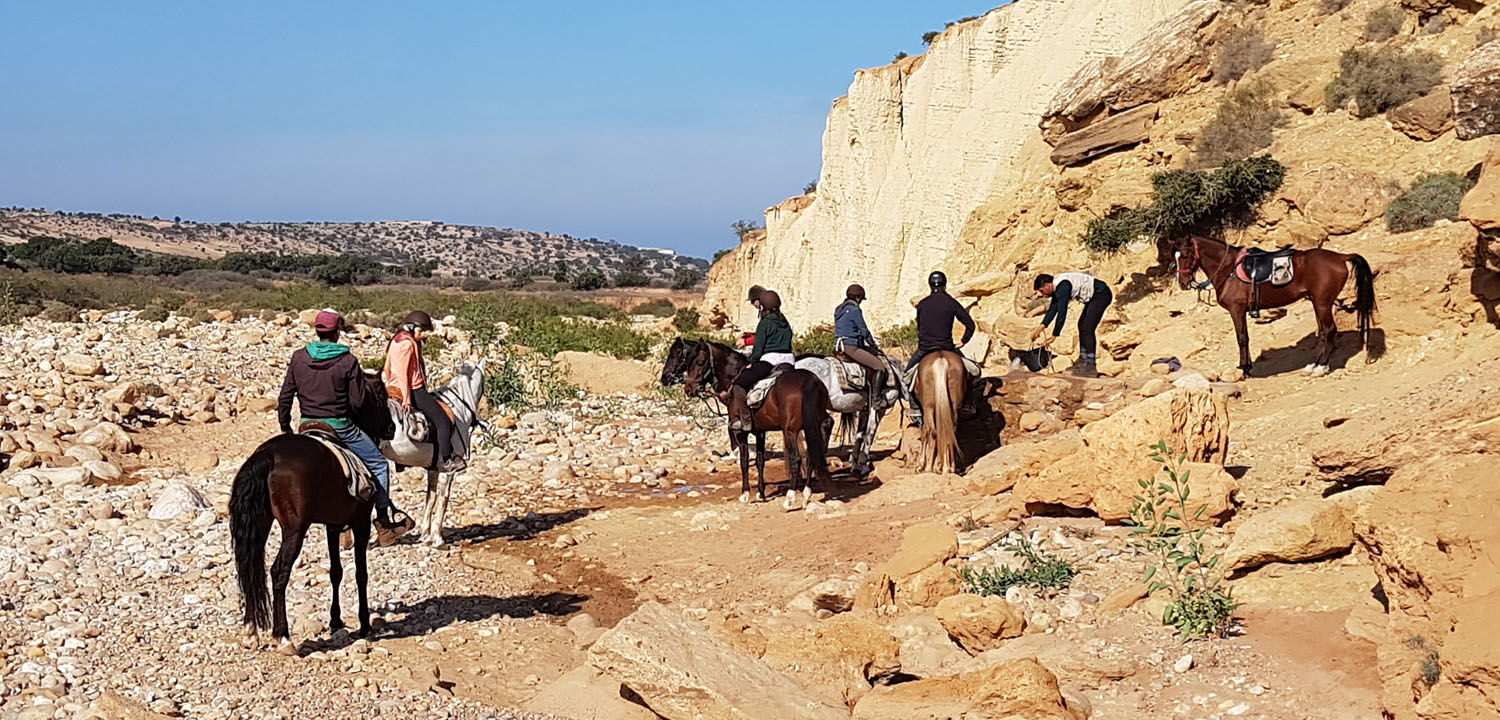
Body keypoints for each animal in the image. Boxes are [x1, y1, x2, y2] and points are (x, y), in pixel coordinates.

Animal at [229, 371, 393, 652]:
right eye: (382, 394)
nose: (392, 428)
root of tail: (267, 455)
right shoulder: (360, 523)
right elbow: (360, 574)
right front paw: (365, 625)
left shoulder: (332, 525)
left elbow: (336, 572)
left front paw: (336, 620)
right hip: (295, 529)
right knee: (278, 571)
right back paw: (283, 637)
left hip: (260, 524)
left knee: (250, 568)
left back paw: (251, 631)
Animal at [379, 362, 487, 547]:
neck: (459, 411)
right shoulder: (447, 471)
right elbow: (443, 500)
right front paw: (438, 538)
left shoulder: (433, 469)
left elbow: (430, 499)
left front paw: (425, 535)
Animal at [680, 340, 833, 507]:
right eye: (687, 362)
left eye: (700, 362)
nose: (689, 389)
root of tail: (810, 381)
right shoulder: (760, 432)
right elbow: (760, 461)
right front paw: (761, 493)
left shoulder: (740, 433)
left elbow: (744, 461)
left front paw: (745, 494)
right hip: (814, 425)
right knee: (818, 445)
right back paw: (806, 494)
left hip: (790, 430)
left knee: (796, 460)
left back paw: (789, 498)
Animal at [1174, 235, 1381, 377]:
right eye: (1175, 257)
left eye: (1186, 255)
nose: (1183, 282)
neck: (1229, 269)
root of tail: (1340, 257)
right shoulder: (1241, 311)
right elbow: (1246, 337)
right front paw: (1247, 366)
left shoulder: (1236, 310)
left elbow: (1241, 338)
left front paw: (1244, 369)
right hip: (1318, 303)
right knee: (1323, 332)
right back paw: (1313, 366)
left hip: (1322, 303)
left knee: (1329, 330)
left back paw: (1321, 367)